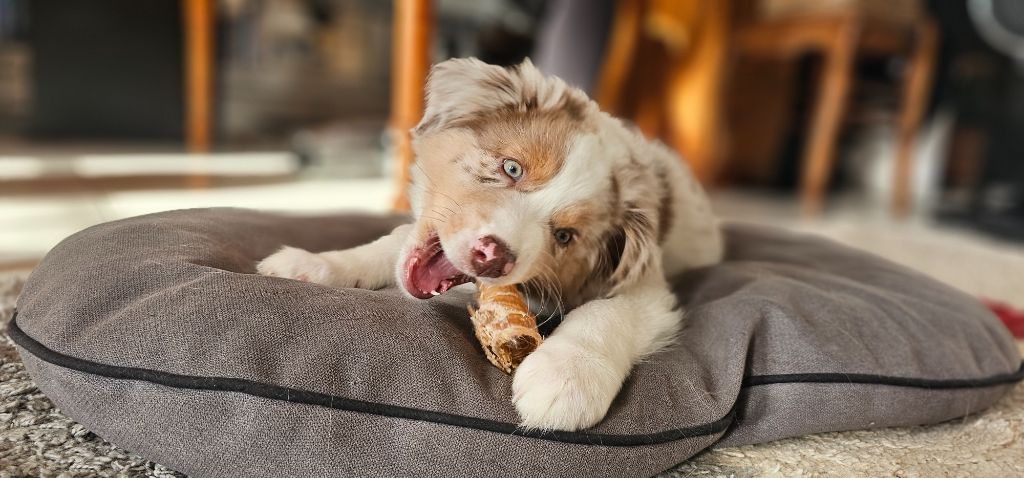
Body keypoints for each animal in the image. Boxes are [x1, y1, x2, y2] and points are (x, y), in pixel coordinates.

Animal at [256, 58, 720, 431]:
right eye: (511, 168)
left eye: (564, 236)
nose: (494, 257)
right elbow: (392, 242)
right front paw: (313, 264)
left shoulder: (646, 286)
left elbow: (607, 312)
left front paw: (565, 379)